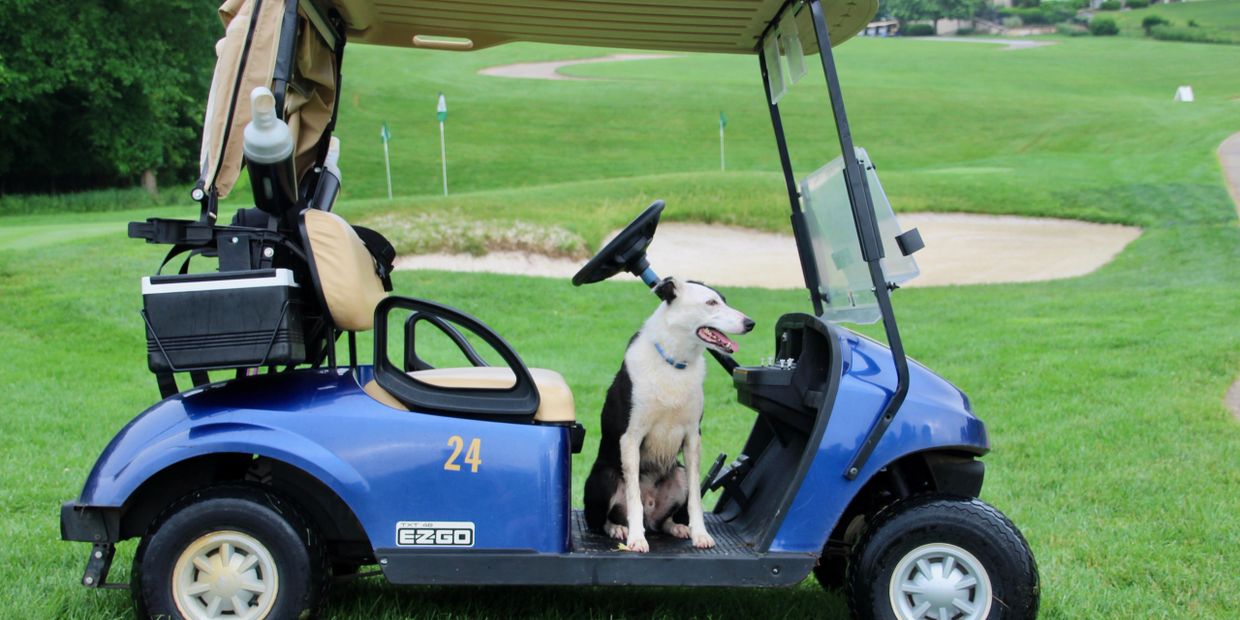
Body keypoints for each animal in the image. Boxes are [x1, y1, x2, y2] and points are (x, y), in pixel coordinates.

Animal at [582, 279, 748, 550]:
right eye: (711, 302)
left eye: (724, 300)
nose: (750, 323)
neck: (674, 363)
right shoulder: (631, 437)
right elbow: (634, 498)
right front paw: (636, 539)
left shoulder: (692, 437)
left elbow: (696, 498)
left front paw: (700, 534)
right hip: (605, 478)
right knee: (600, 521)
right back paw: (619, 528)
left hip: (678, 473)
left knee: (664, 521)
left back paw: (677, 527)